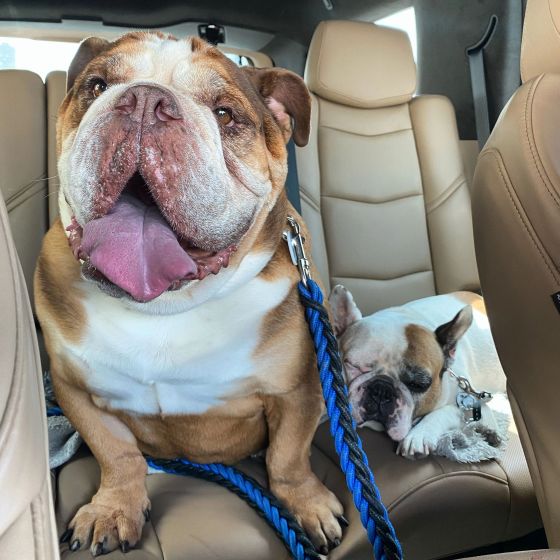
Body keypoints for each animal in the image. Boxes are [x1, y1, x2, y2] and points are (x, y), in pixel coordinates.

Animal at [35, 32, 344, 556]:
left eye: (225, 113)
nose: (144, 101)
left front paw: (308, 504)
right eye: (97, 86)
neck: (165, 309)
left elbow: (288, 457)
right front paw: (113, 507)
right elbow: (116, 452)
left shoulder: (297, 389)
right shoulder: (73, 387)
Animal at [329, 285, 507, 459]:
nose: (381, 390)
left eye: (418, 384)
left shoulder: (467, 401)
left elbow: (446, 411)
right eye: (353, 365)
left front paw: (419, 434)